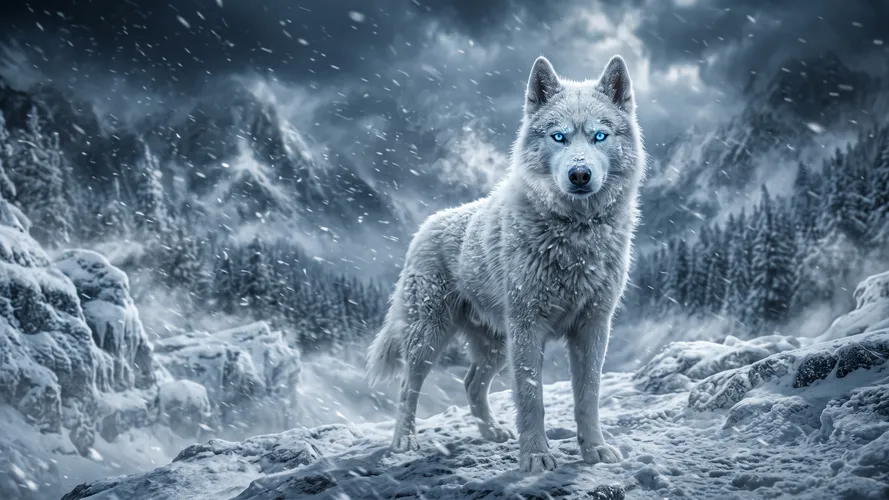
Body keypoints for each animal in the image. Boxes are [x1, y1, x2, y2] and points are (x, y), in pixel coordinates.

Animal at [367, 54, 646, 473]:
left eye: (600, 136)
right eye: (559, 137)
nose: (580, 174)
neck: (575, 237)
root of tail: (426, 226)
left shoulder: (594, 327)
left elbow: (588, 396)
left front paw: (594, 449)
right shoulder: (528, 327)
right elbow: (532, 398)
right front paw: (536, 456)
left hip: (496, 345)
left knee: (470, 383)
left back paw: (492, 433)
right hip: (429, 337)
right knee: (407, 387)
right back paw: (405, 440)